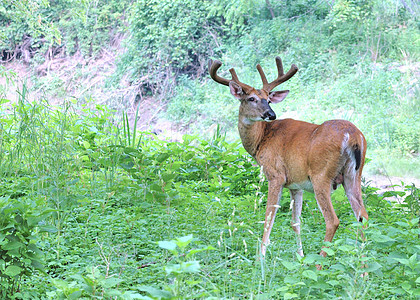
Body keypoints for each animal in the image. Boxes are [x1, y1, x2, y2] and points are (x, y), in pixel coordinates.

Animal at [210, 55, 368, 262]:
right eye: (251, 98)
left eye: (268, 99)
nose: (271, 114)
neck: (261, 140)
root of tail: (353, 136)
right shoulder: (295, 185)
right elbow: (295, 222)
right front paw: (300, 257)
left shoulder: (275, 175)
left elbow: (269, 216)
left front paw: (261, 256)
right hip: (354, 175)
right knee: (362, 216)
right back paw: (362, 265)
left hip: (321, 175)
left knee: (333, 221)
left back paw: (320, 262)